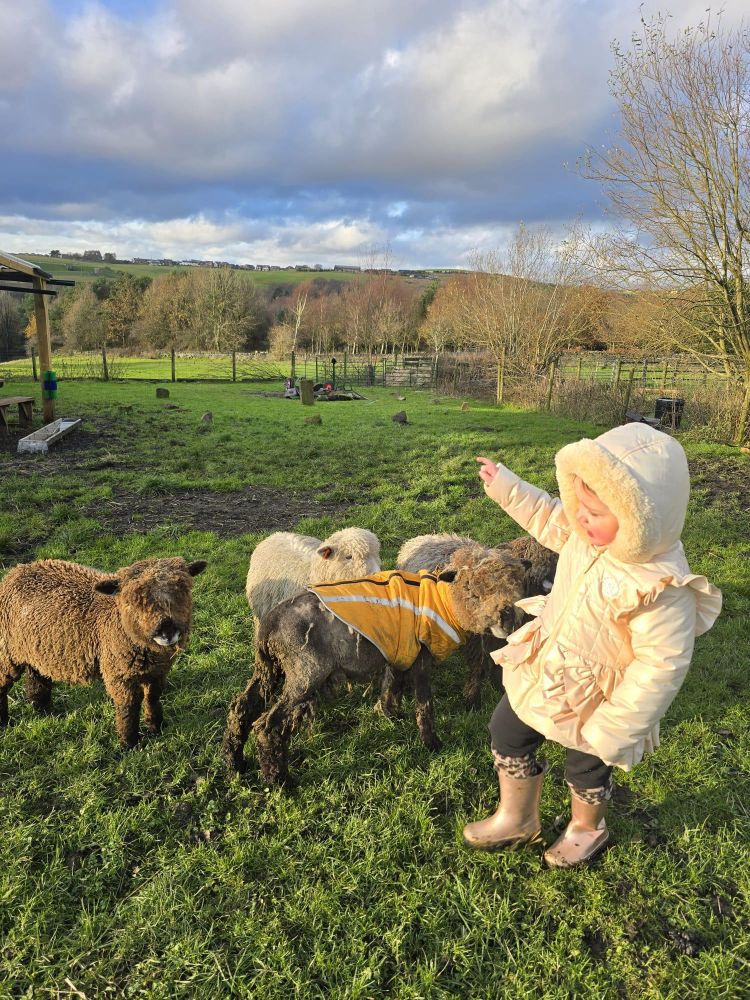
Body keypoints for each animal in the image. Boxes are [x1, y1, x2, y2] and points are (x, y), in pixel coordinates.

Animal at [0, 556, 207, 747]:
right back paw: (4, 722)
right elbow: (129, 706)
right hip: (7, 650)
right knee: (3, 683)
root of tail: (16, 571)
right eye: (134, 600)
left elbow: (153, 698)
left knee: (37, 676)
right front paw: (129, 743)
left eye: (183, 589)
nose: (167, 630)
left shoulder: (158, 672)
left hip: (38, 648)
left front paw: (157, 728)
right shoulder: (118, 674)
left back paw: (43, 709)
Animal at [223, 544, 529, 785]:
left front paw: (390, 714)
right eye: (471, 590)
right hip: (305, 672)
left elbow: (392, 685)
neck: (443, 603)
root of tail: (269, 625)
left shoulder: (399, 652)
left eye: (514, 586)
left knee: (241, 707)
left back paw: (235, 764)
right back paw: (280, 781)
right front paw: (432, 744)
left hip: (270, 668)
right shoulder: (420, 657)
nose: (506, 619)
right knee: (267, 725)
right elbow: (424, 704)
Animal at [395, 533, 558, 710]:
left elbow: (497, 665)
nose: (506, 621)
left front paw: (499, 687)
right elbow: (478, 669)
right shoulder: (476, 643)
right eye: (474, 592)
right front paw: (472, 700)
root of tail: (421, 538)